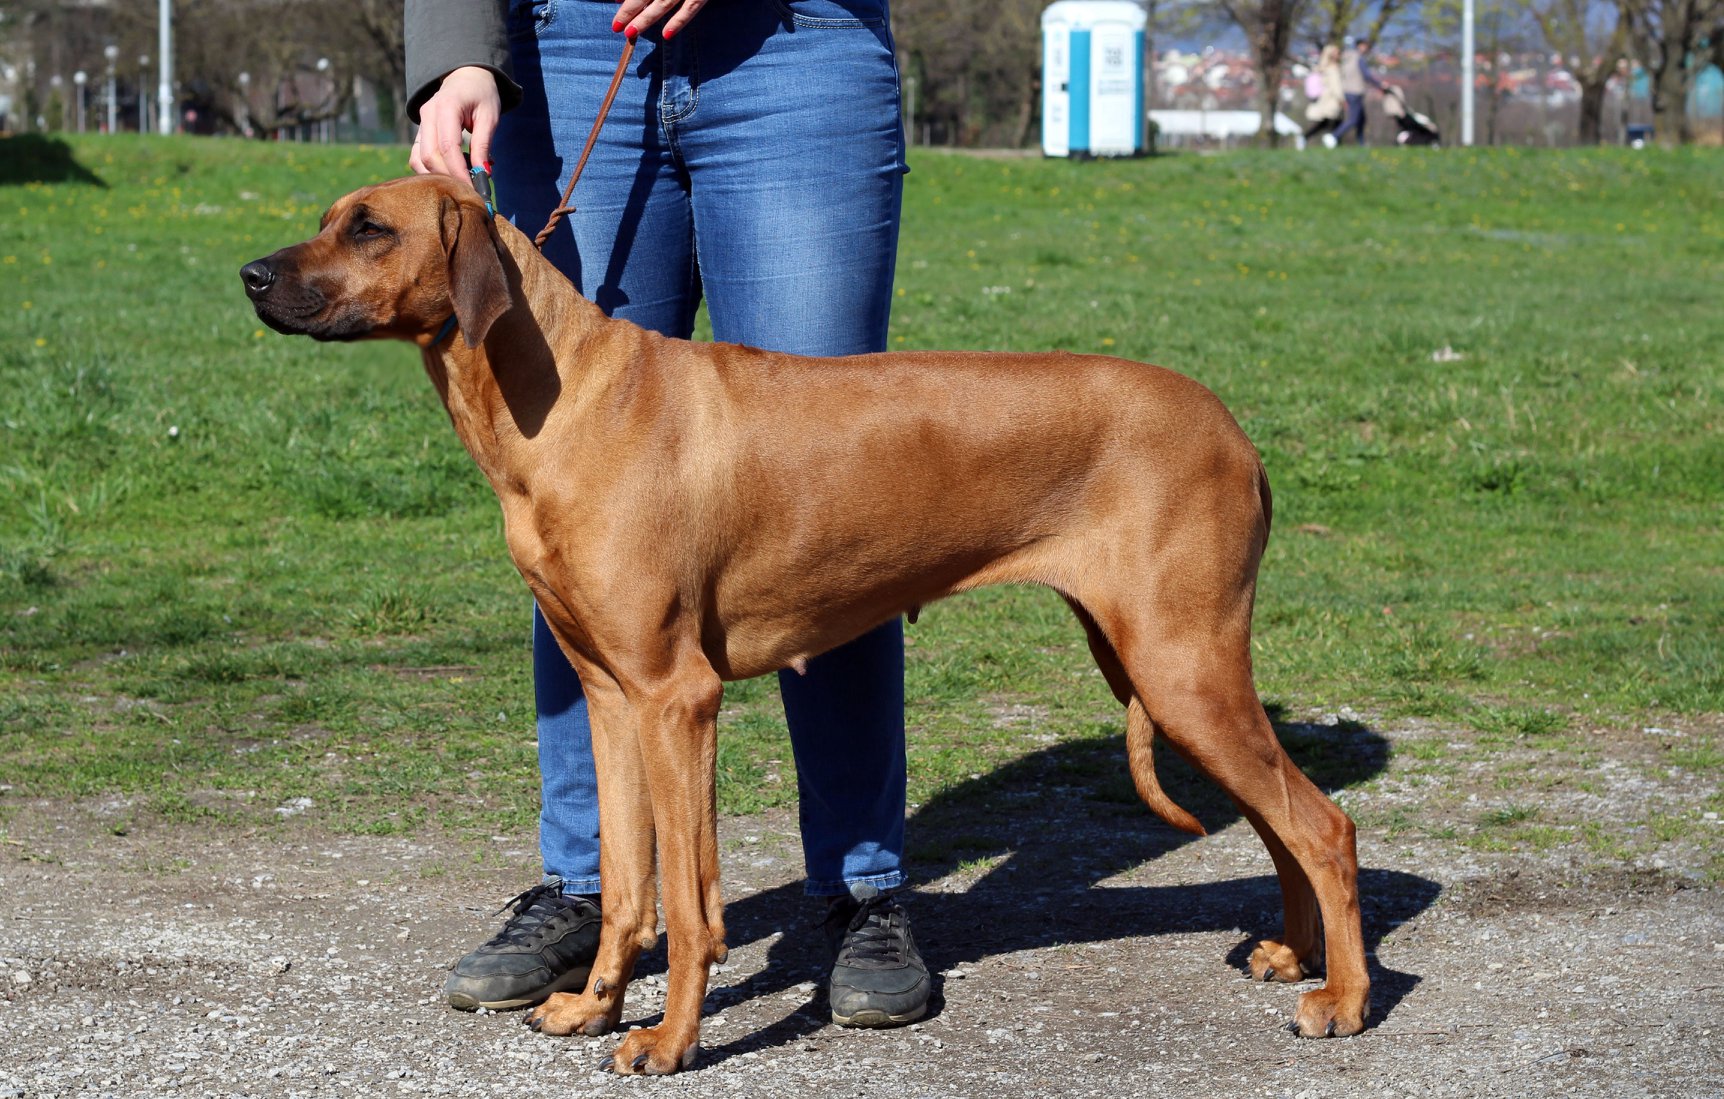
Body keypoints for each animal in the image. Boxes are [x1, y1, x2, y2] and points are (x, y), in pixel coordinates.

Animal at [246, 173, 1372, 1069]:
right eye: (327, 219)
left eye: (369, 229)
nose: (251, 276)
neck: (568, 398)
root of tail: (1234, 428)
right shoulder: (610, 697)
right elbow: (627, 885)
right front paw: (593, 1006)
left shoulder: (677, 698)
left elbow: (692, 901)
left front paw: (668, 1039)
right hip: (1160, 665)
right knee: (1279, 818)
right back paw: (1293, 954)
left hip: (1179, 664)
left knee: (1322, 823)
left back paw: (1346, 998)